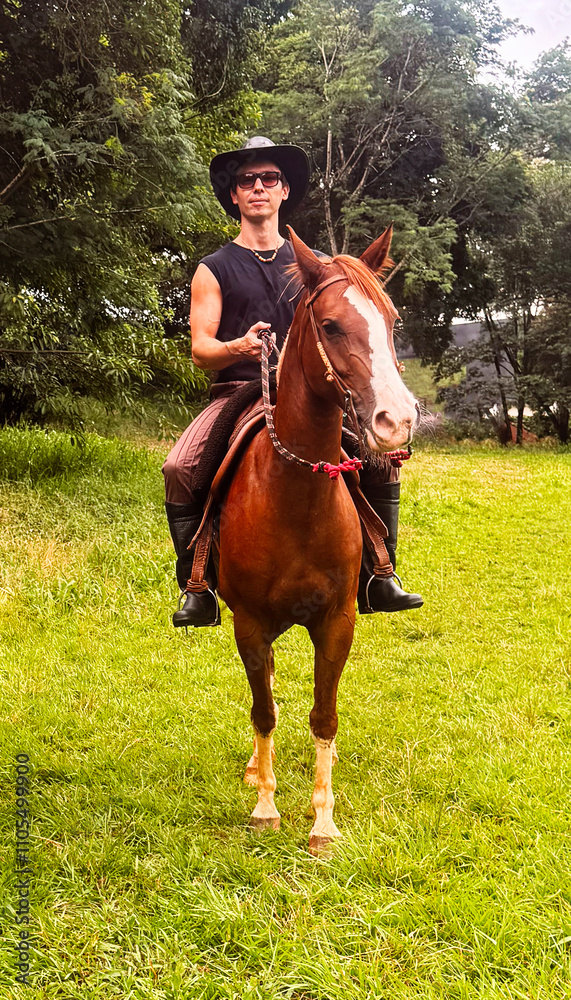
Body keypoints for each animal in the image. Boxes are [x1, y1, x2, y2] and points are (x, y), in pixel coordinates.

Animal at [217, 225, 420, 853]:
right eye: (330, 325)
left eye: (393, 320)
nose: (397, 421)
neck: (297, 497)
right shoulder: (250, 623)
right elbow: (263, 712)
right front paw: (266, 808)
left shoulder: (336, 621)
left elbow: (323, 716)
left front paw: (323, 821)